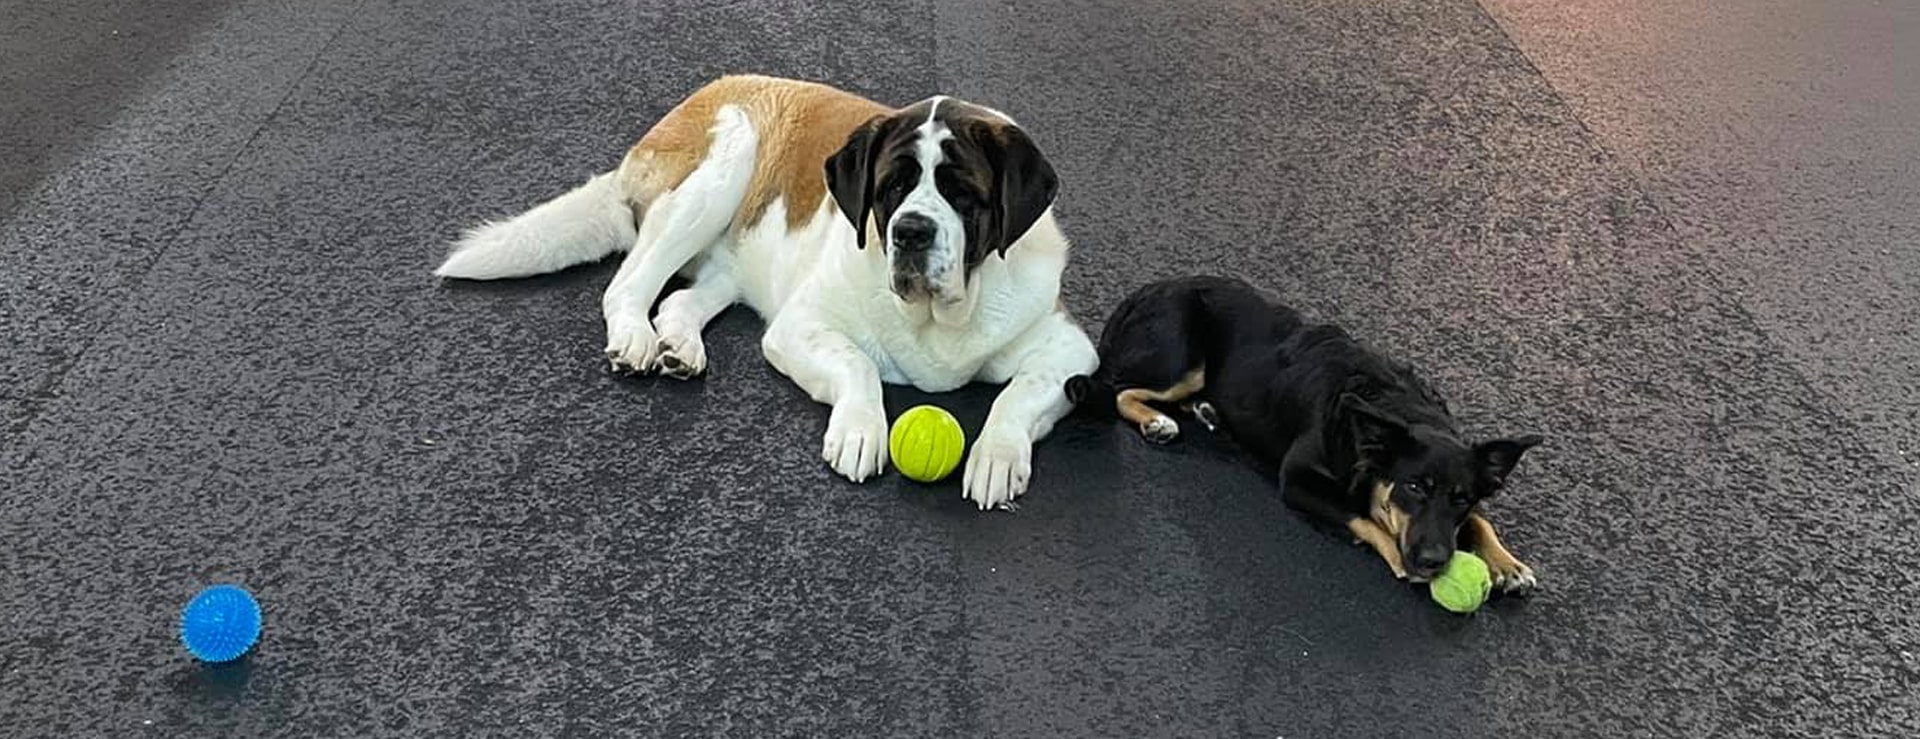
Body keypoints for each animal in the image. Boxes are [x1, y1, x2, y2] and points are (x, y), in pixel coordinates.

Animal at [437, 76, 1098, 514]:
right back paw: (634, 338)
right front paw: (860, 430)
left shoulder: (1072, 353)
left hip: (735, 255)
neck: (939, 319)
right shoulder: (799, 326)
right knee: (628, 283)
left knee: (679, 299)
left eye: (963, 193)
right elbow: (857, 364)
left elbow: (1021, 392)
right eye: (892, 187)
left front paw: (996, 456)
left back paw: (679, 345)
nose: (911, 231)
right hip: (722, 163)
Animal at [1067, 276, 1543, 591]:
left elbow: (1481, 519)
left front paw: (1506, 563)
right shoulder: (1296, 478)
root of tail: (1142, 292)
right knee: (1119, 390)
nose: (1435, 561)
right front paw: (1395, 552)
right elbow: (1359, 514)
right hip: (1185, 353)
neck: (1391, 405)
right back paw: (1157, 421)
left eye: (1461, 498)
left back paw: (1206, 410)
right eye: (1414, 487)